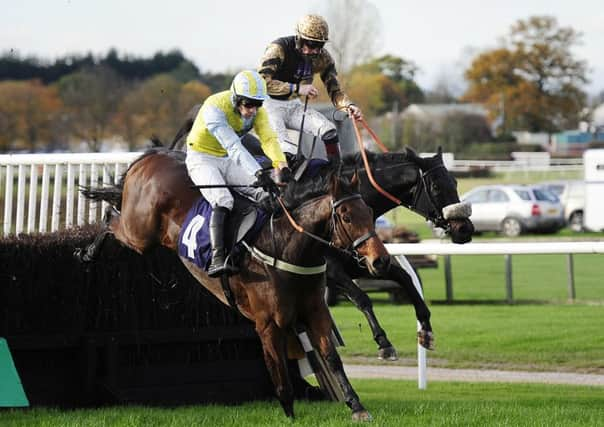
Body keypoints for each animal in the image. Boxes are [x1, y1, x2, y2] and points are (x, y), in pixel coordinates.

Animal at [76, 147, 386, 422]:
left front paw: (356, 406)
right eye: (346, 217)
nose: (380, 260)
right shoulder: (267, 323)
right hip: (139, 232)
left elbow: (332, 357)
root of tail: (151, 156)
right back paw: (87, 252)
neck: (285, 246)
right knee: (110, 219)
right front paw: (289, 413)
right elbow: (278, 368)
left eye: (370, 213)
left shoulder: (315, 311)